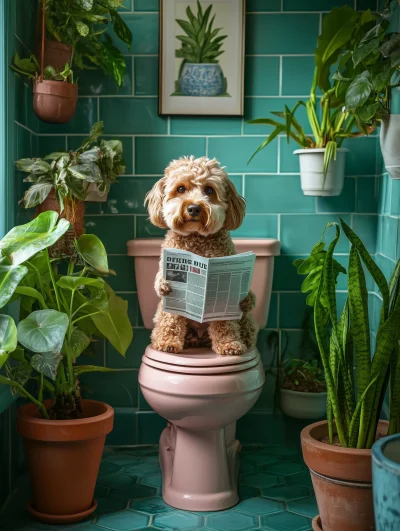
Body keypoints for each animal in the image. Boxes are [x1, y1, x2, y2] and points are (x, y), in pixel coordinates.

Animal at [145, 157, 258, 358]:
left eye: (209, 190)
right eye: (180, 189)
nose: (194, 208)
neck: (196, 237)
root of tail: (199, 336)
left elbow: (225, 323)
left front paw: (229, 344)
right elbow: (171, 317)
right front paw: (168, 342)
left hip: (244, 318)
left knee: (246, 318)